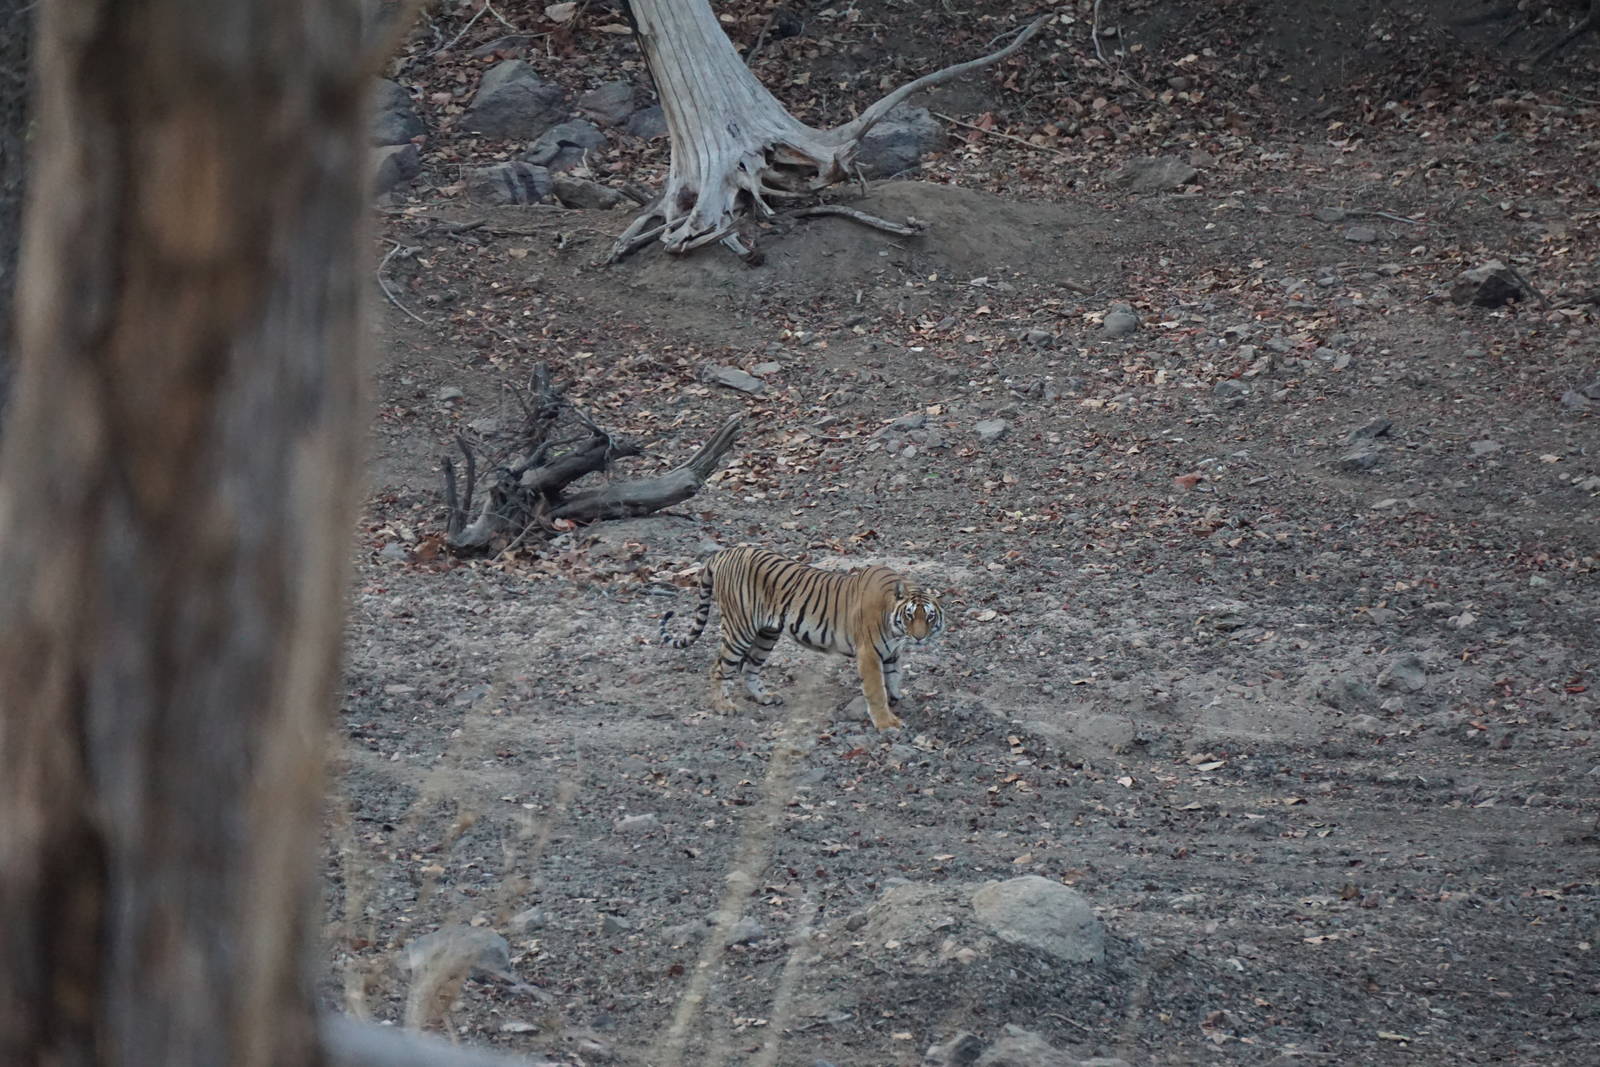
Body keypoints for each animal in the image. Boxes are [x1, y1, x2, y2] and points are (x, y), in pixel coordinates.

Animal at [659, 546, 946, 731]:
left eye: (929, 617)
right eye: (910, 615)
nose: (919, 638)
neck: (895, 625)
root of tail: (724, 553)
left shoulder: (892, 652)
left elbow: (894, 675)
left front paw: (896, 698)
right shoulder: (869, 654)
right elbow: (876, 690)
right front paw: (887, 723)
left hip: (767, 633)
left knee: (749, 667)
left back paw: (764, 697)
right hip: (740, 628)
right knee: (719, 668)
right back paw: (723, 706)